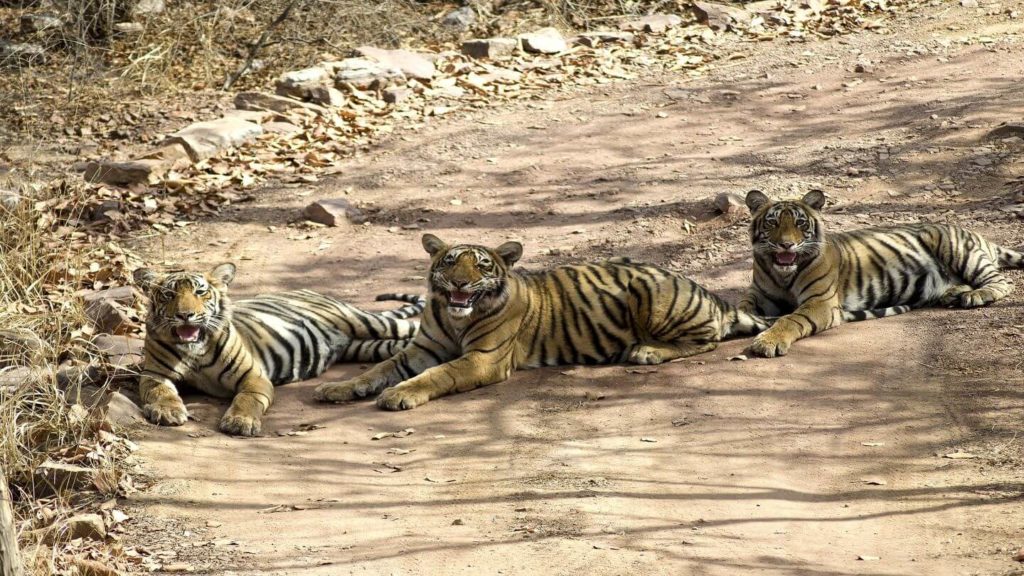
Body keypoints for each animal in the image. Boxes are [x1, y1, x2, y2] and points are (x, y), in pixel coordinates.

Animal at [132, 263, 425, 436]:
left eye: (200, 292)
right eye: (169, 295)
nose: (185, 315)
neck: (195, 349)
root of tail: (310, 291)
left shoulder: (253, 376)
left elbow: (247, 399)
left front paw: (241, 422)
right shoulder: (155, 374)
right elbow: (160, 392)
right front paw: (168, 411)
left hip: (366, 323)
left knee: (413, 327)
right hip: (368, 346)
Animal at [313, 233, 769, 410]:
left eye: (481, 266)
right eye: (449, 262)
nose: (460, 283)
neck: (456, 318)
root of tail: (707, 291)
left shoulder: (482, 358)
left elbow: (438, 375)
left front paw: (399, 395)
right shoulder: (421, 349)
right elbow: (379, 367)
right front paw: (338, 388)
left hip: (650, 291)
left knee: (707, 339)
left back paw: (647, 351)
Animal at [740, 189, 1024, 358]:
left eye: (800, 223)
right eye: (772, 222)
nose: (786, 245)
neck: (783, 274)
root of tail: (978, 235)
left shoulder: (820, 302)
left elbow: (791, 319)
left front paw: (768, 341)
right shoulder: (759, 294)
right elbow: (744, 307)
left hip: (956, 248)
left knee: (1001, 281)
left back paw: (975, 296)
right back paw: (953, 294)